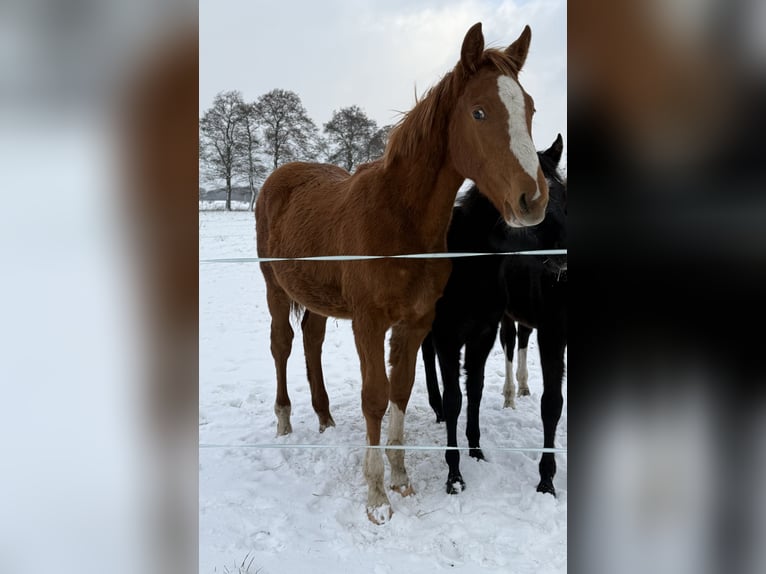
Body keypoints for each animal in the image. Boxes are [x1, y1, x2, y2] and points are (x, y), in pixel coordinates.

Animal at [255, 22, 548, 524]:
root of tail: (278, 177)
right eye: (479, 111)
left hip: (319, 299)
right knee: (282, 345)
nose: (532, 199)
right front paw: (376, 496)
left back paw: (325, 417)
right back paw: (285, 420)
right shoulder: (370, 323)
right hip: (275, 289)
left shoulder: (415, 324)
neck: (397, 220)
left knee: (312, 341)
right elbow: (375, 395)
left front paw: (400, 478)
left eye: (528, 108)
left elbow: (402, 391)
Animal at [421, 134, 566, 495]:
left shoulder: (482, 335)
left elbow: (474, 390)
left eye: (564, 191)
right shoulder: (449, 337)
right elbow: (455, 398)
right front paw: (454, 475)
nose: (565, 252)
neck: (469, 265)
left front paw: (475, 450)